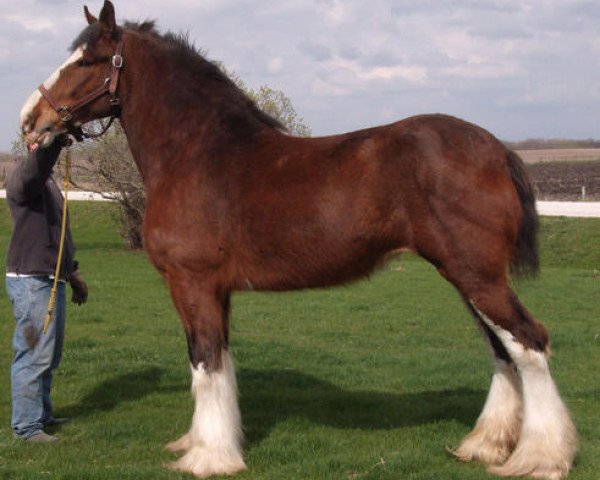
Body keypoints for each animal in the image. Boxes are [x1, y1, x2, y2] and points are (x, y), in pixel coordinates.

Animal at [22, 1, 576, 478]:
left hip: (476, 276)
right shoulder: (217, 291)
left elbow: (204, 361)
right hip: (466, 277)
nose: (31, 120)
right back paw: (484, 446)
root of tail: (496, 149)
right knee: (502, 350)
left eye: (88, 60)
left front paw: (206, 458)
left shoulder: (191, 282)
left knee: (529, 343)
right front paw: (210, 444)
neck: (198, 152)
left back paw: (542, 458)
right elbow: (219, 361)